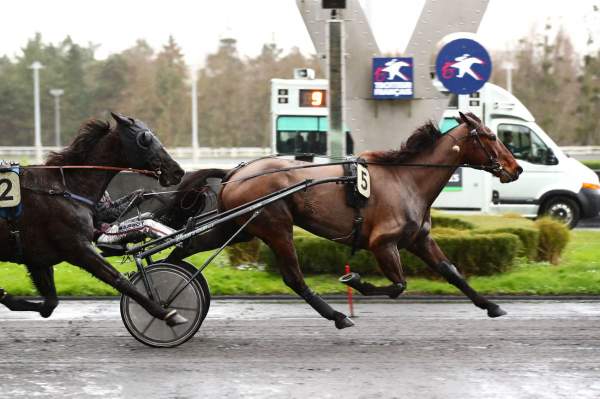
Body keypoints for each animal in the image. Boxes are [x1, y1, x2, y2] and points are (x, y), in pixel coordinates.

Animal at [0, 113, 188, 328]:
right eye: (145, 139)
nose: (177, 171)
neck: (64, 189)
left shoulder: (37, 256)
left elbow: (50, 304)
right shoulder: (77, 249)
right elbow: (119, 279)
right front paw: (166, 312)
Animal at [166, 111, 524, 330]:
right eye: (490, 136)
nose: (516, 168)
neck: (407, 179)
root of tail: (234, 172)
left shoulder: (418, 239)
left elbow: (451, 271)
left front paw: (491, 305)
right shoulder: (384, 243)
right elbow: (398, 285)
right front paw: (355, 281)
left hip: (238, 228)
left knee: (184, 248)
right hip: (276, 227)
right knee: (294, 278)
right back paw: (338, 316)